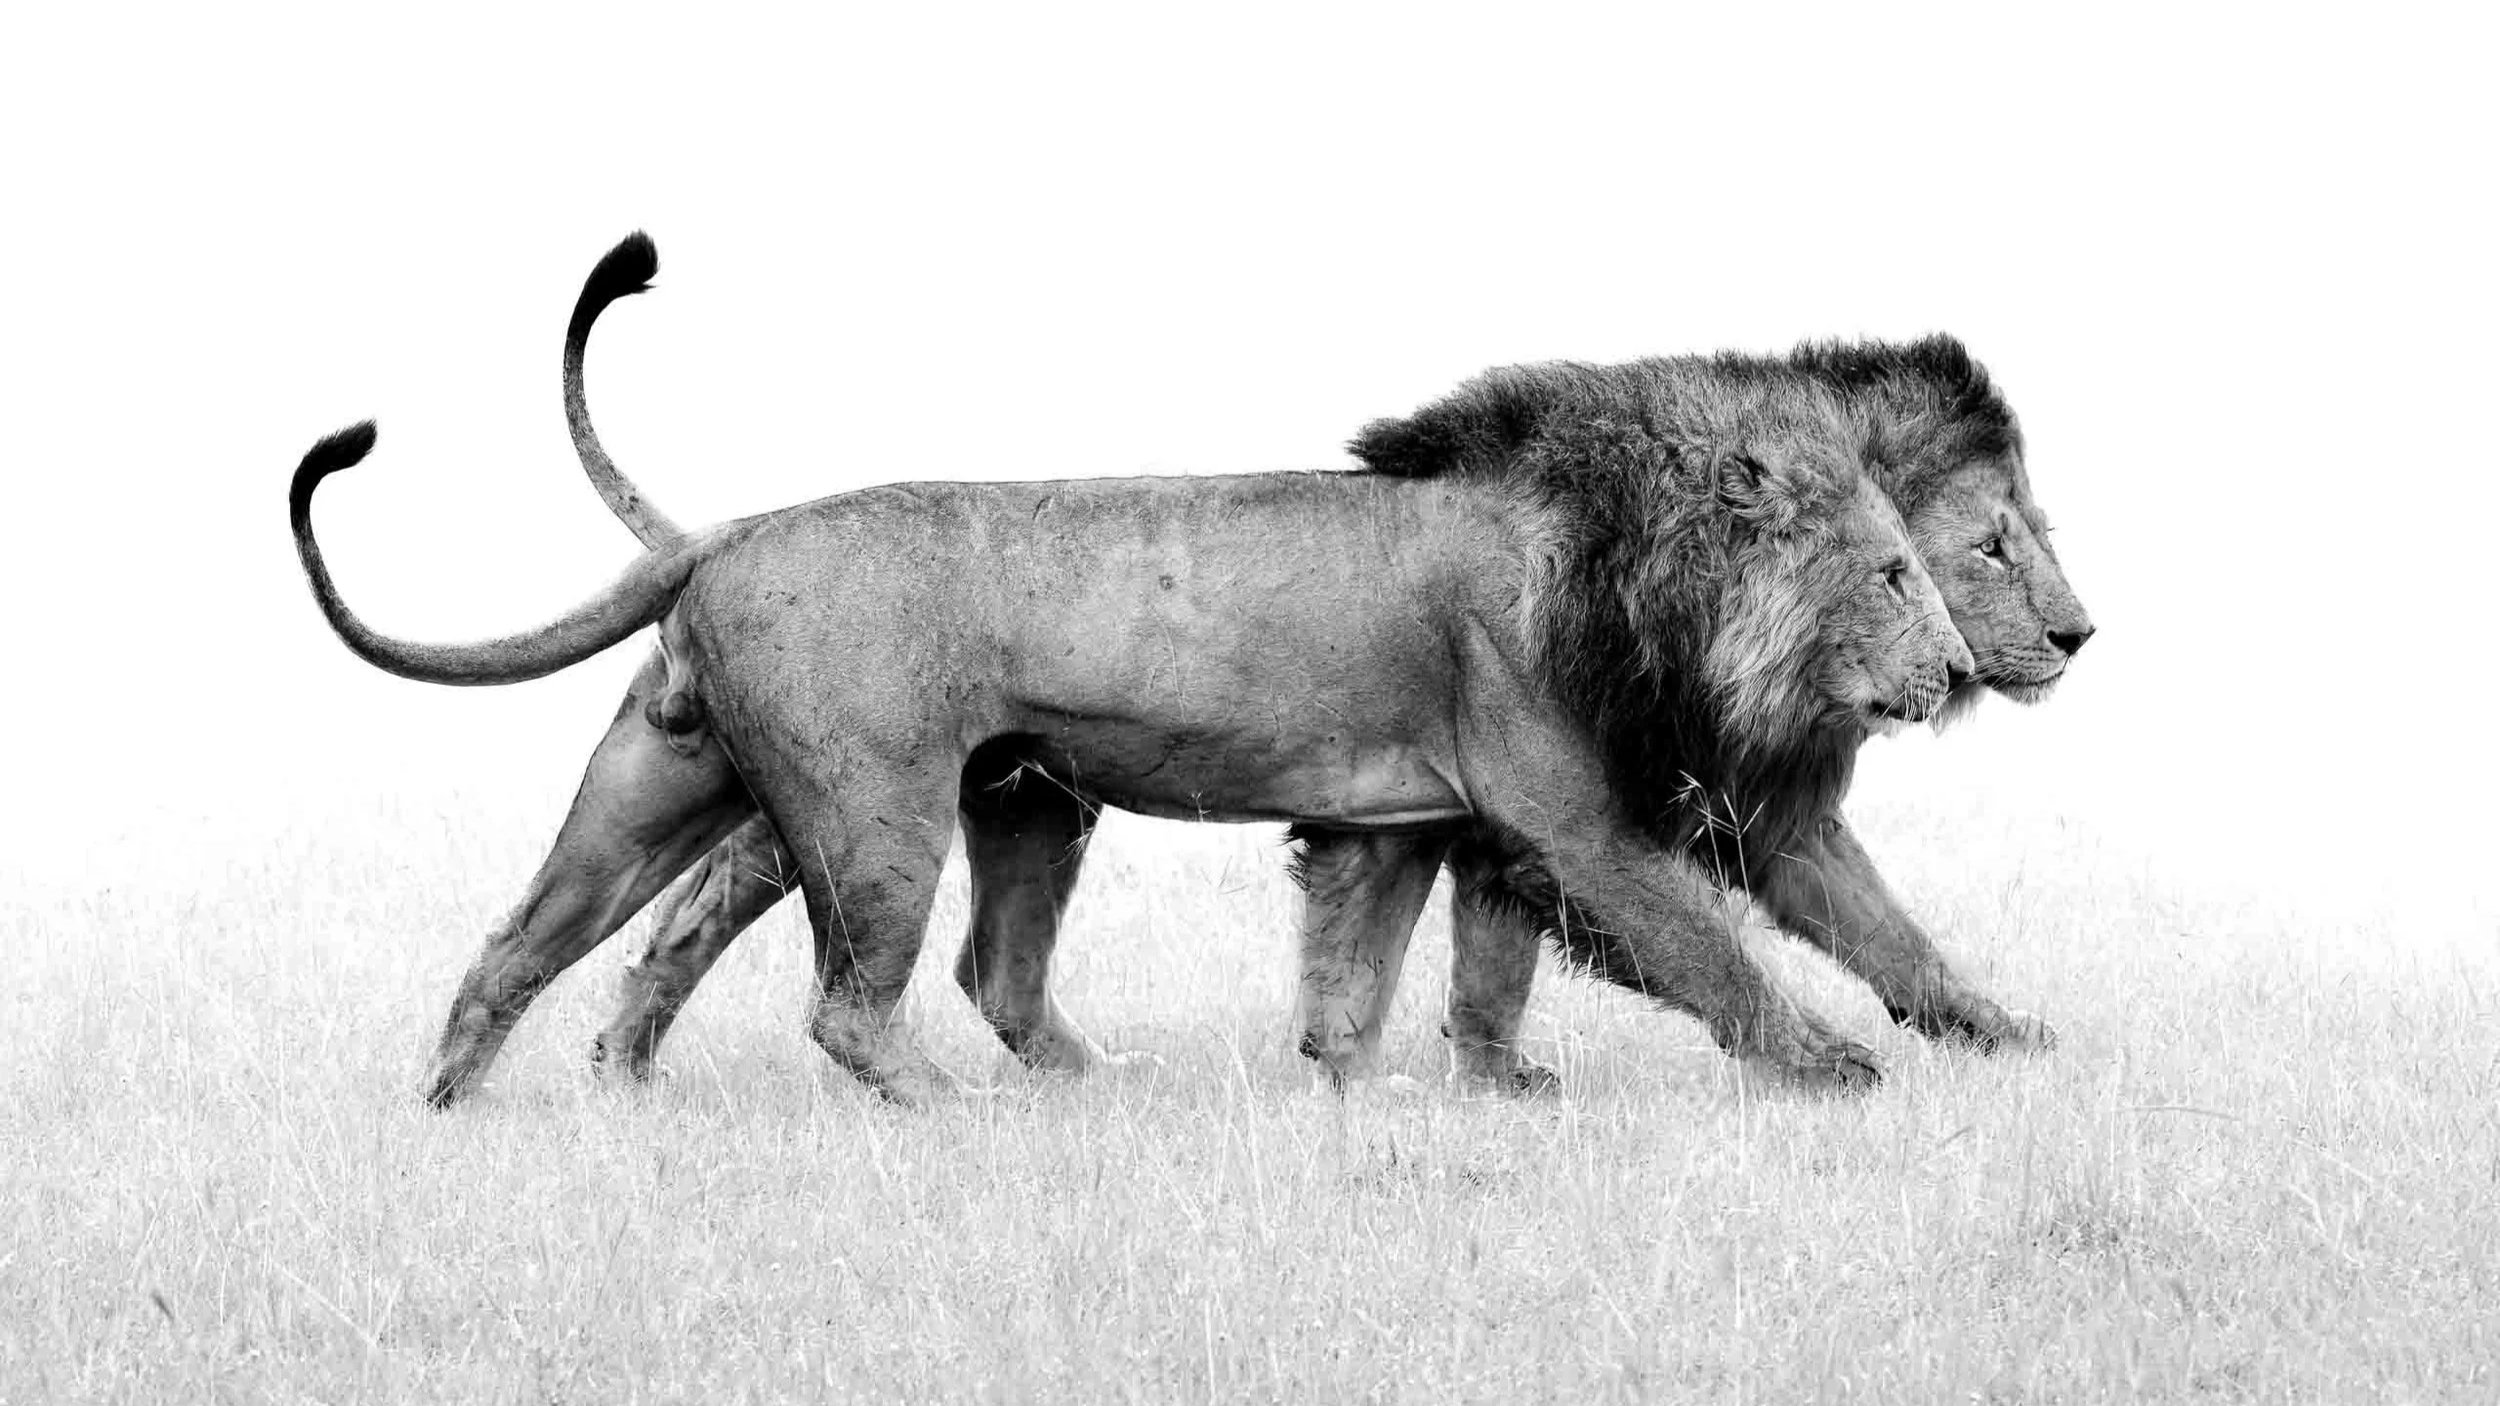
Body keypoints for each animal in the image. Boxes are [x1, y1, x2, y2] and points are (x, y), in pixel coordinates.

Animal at [289, 239, 1971, 1108]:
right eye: (1895, 572)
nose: (1959, 669)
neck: (1620, 553)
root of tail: (727, 533)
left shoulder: (1394, 817)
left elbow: (1358, 981)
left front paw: (1354, 1093)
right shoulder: (1574, 820)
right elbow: (1711, 951)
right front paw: (1837, 1067)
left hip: (712, 779)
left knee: (522, 941)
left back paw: (459, 1111)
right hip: (877, 808)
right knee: (856, 1008)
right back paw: (972, 1115)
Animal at [1283, 344, 2096, 1093]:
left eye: (2043, 533)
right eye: (1991, 548)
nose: (2080, 636)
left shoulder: (1771, 807)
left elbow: (1892, 933)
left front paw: (1998, 1032)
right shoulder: (1572, 810)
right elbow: (1688, 946)